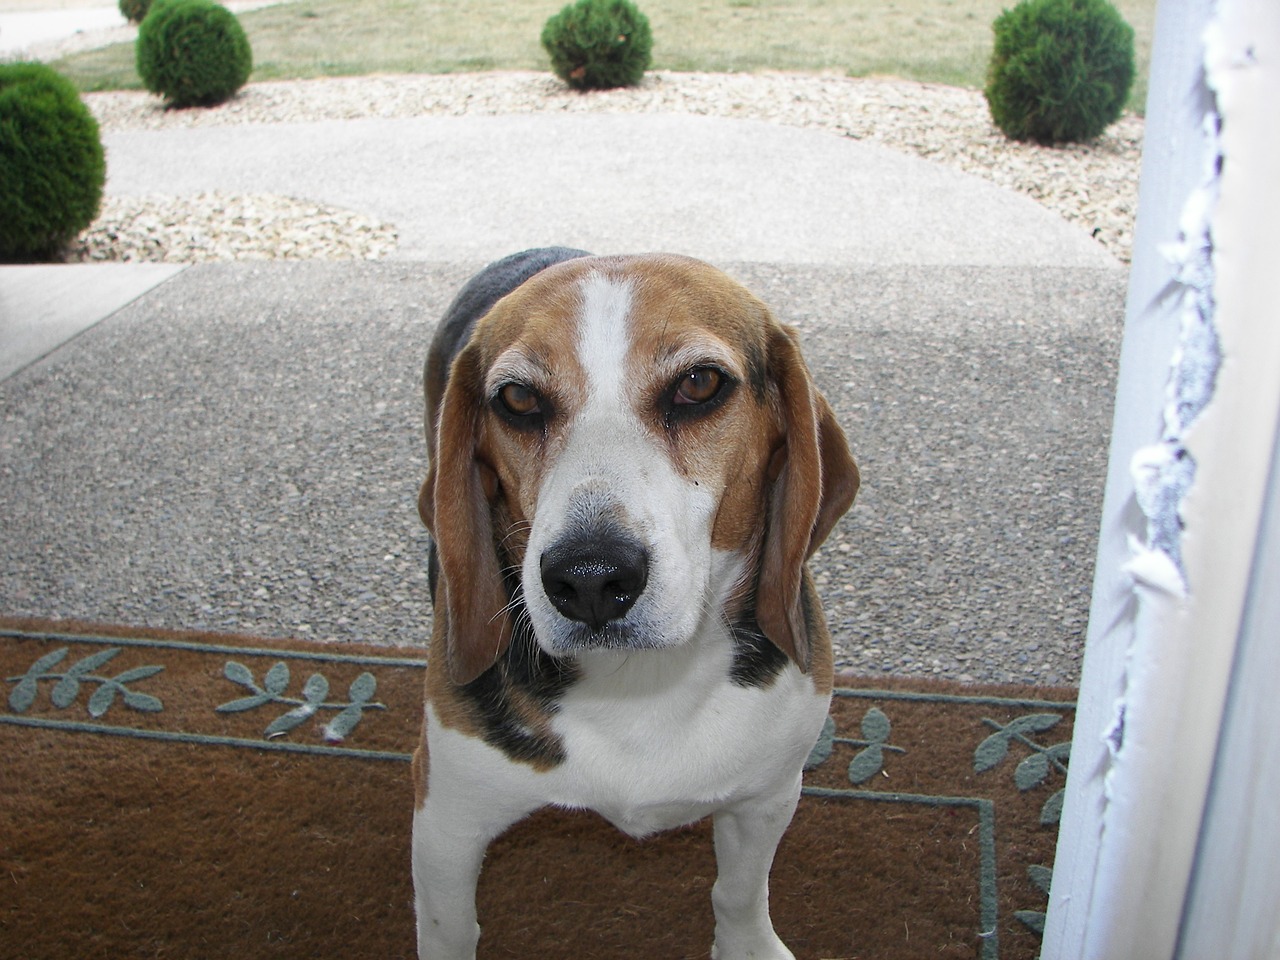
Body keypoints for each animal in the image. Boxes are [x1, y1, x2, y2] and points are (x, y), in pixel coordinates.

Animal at [409, 249, 860, 960]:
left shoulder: (767, 793)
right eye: (518, 399)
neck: (640, 685)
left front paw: (747, 947)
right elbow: (450, 931)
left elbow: (739, 891)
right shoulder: (445, 822)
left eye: (699, 384)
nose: (591, 579)